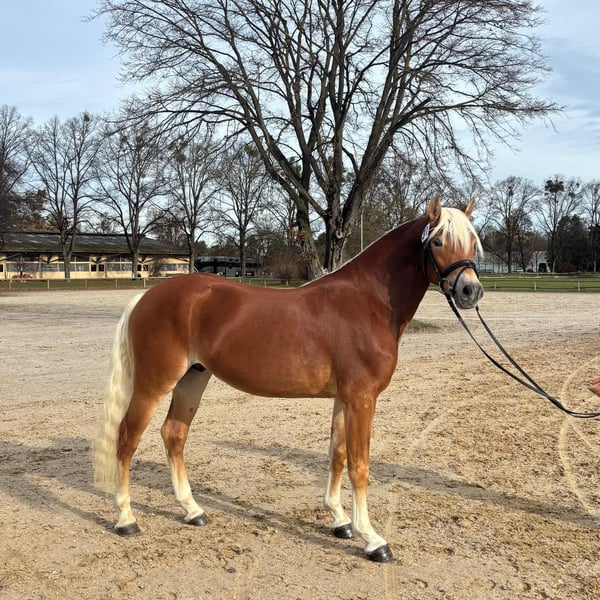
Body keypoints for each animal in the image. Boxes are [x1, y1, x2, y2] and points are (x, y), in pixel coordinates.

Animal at [94, 195, 483, 563]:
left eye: (471, 240)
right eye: (437, 241)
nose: (471, 291)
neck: (368, 302)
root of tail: (147, 295)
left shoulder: (345, 398)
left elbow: (337, 454)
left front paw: (340, 521)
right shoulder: (362, 398)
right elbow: (359, 465)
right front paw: (373, 540)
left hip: (193, 378)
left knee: (174, 434)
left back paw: (193, 511)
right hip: (153, 383)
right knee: (127, 439)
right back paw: (126, 519)